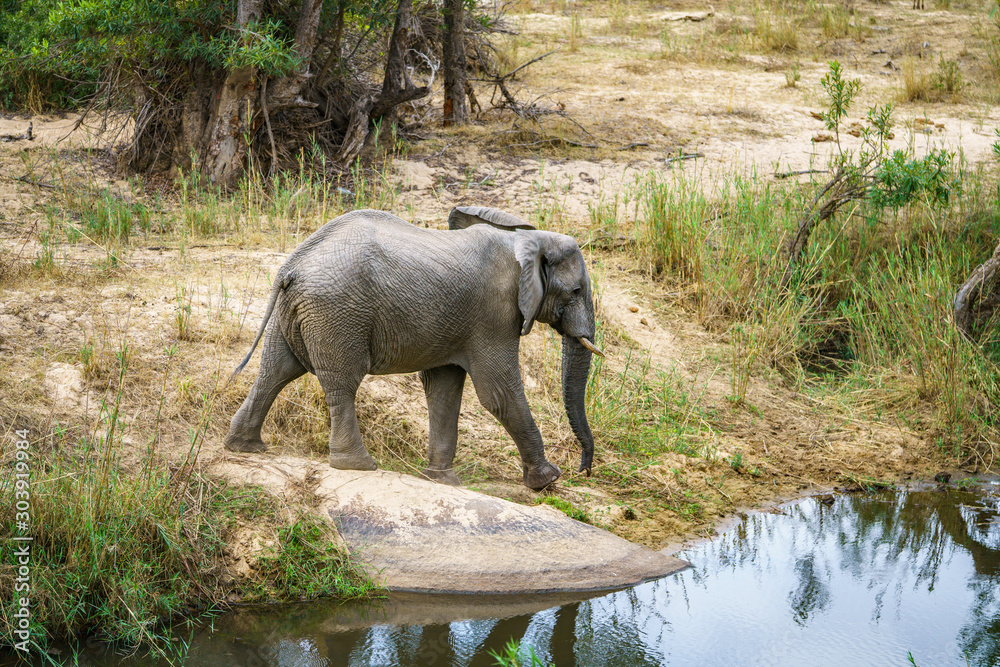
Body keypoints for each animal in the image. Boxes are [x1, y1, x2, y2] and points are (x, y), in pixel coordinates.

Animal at [222, 206, 602, 490]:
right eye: (575, 291)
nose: (583, 470)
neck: (527, 239)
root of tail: (292, 264)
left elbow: (443, 388)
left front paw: (444, 481)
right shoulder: (494, 312)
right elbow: (498, 392)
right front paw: (547, 480)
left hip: (297, 310)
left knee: (276, 370)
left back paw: (245, 446)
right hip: (337, 312)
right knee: (342, 382)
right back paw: (358, 465)